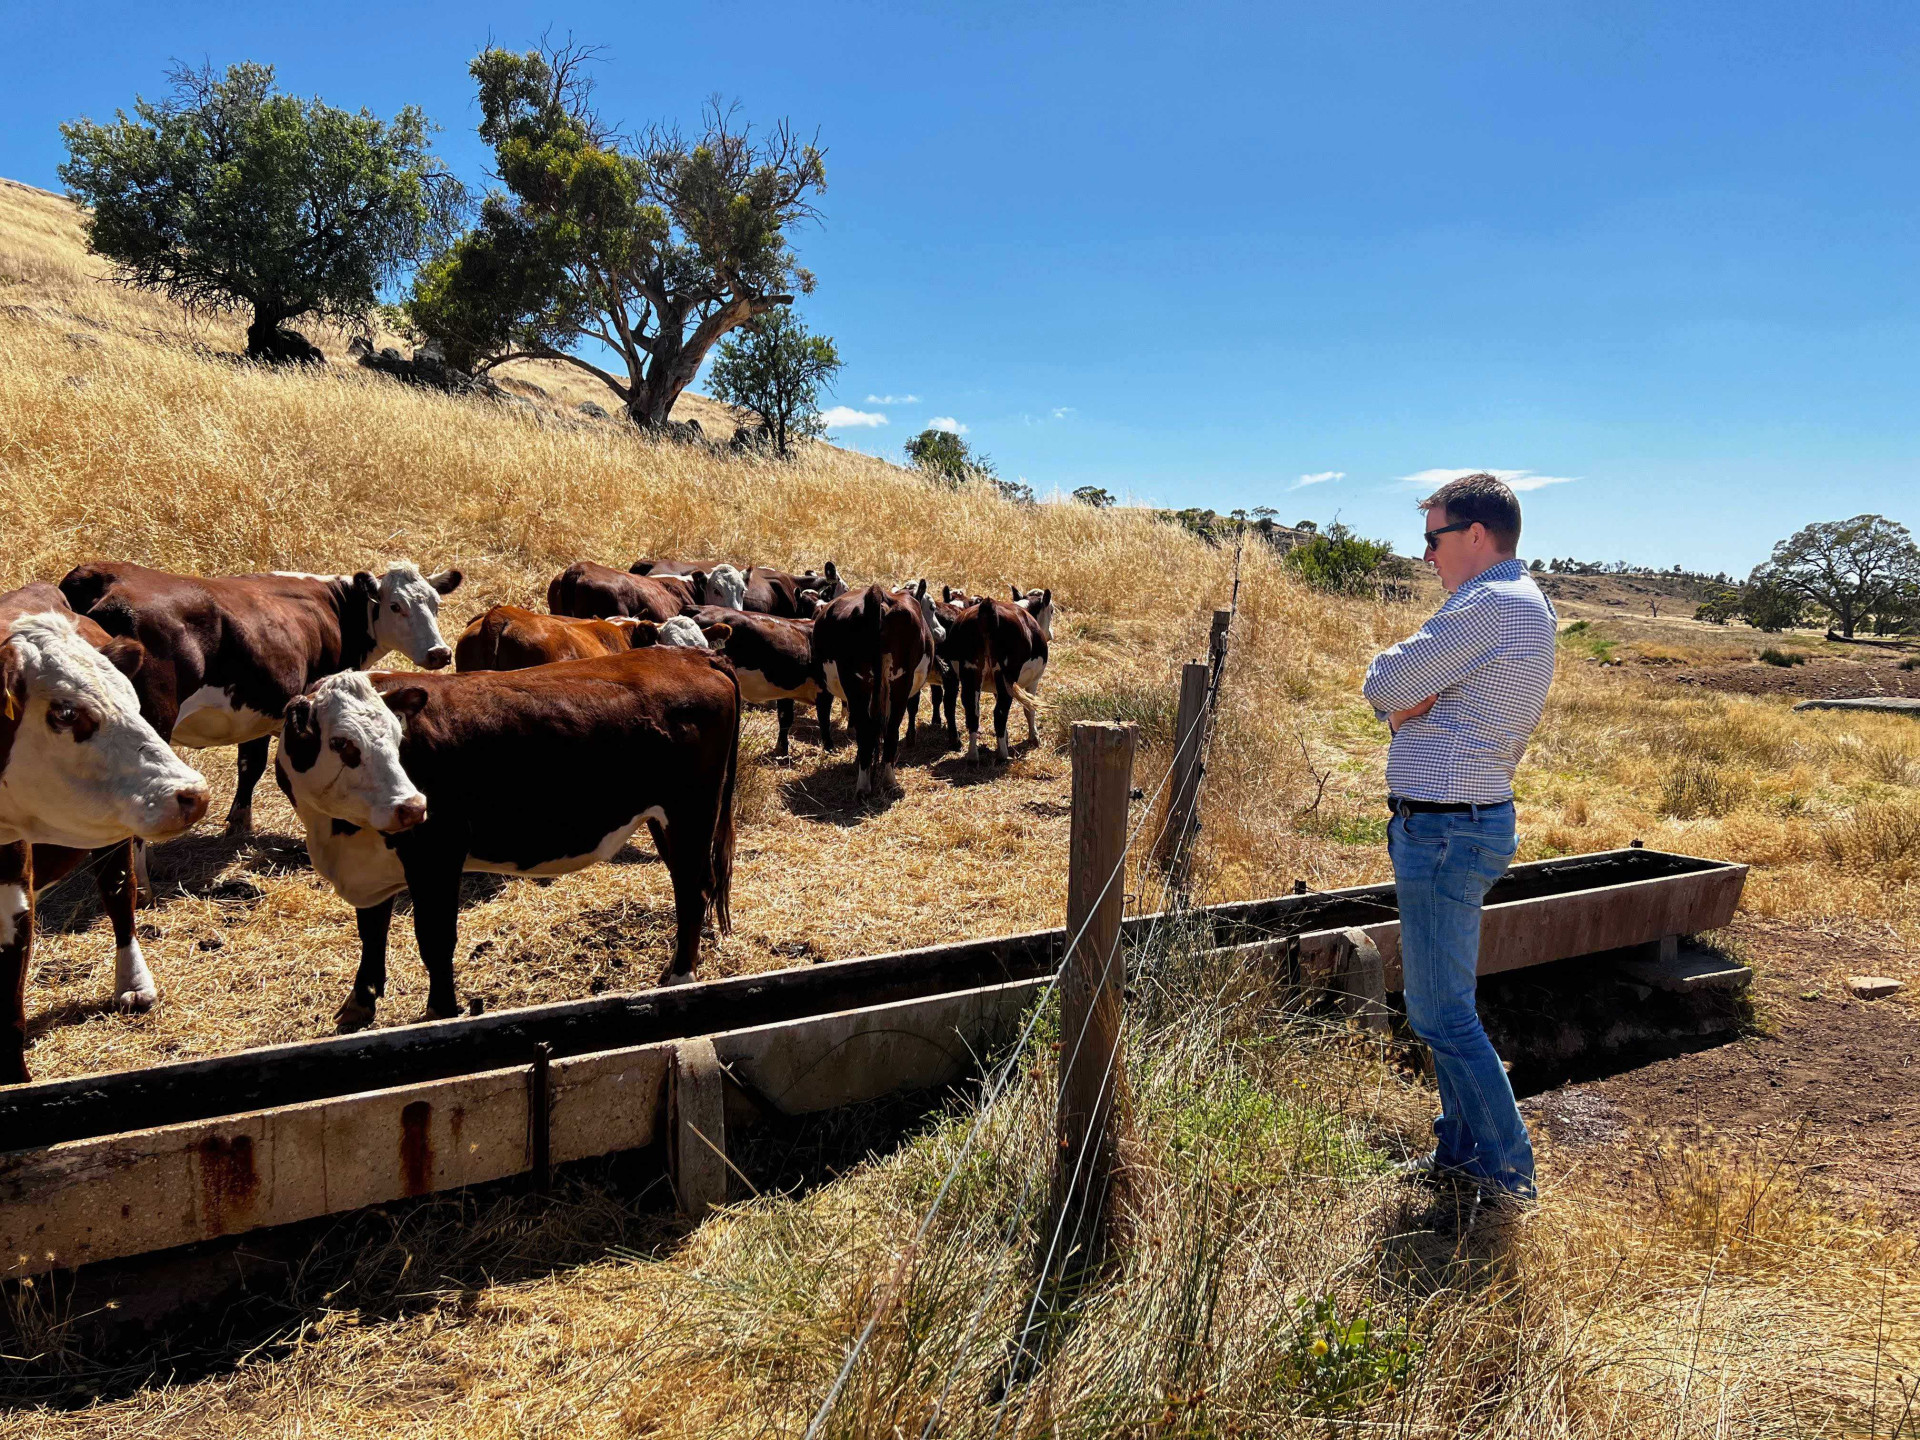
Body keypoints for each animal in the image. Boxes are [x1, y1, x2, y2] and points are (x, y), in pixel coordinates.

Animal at [0, 587, 210, 1082]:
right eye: (65, 713)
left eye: (131, 700)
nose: (192, 794)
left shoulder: (15, 910)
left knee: (120, 896)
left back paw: (134, 984)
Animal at [60, 560, 464, 840]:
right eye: (396, 606)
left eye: (435, 604)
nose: (440, 653)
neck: (333, 609)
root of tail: (102, 576)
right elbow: (257, 765)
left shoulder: (254, 713)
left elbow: (247, 765)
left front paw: (238, 823)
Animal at [278, 648, 741, 1029]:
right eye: (341, 743)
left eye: (397, 736)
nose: (412, 806)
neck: (335, 833)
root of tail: (691, 655)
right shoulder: (369, 865)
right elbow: (372, 934)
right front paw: (359, 1004)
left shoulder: (438, 853)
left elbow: (435, 939)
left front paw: (440, 1012)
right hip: (669, 821)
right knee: (696, 886)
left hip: (690, 812)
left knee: (692, 892)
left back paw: (679, 976)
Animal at [810, 579, 944, 794]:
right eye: (932, 607)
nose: (942, 632)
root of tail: (877, 595)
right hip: (897, 685)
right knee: (888, 729)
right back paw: (885, 781)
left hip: (861, 686)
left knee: (871, 729)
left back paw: (867, 782)